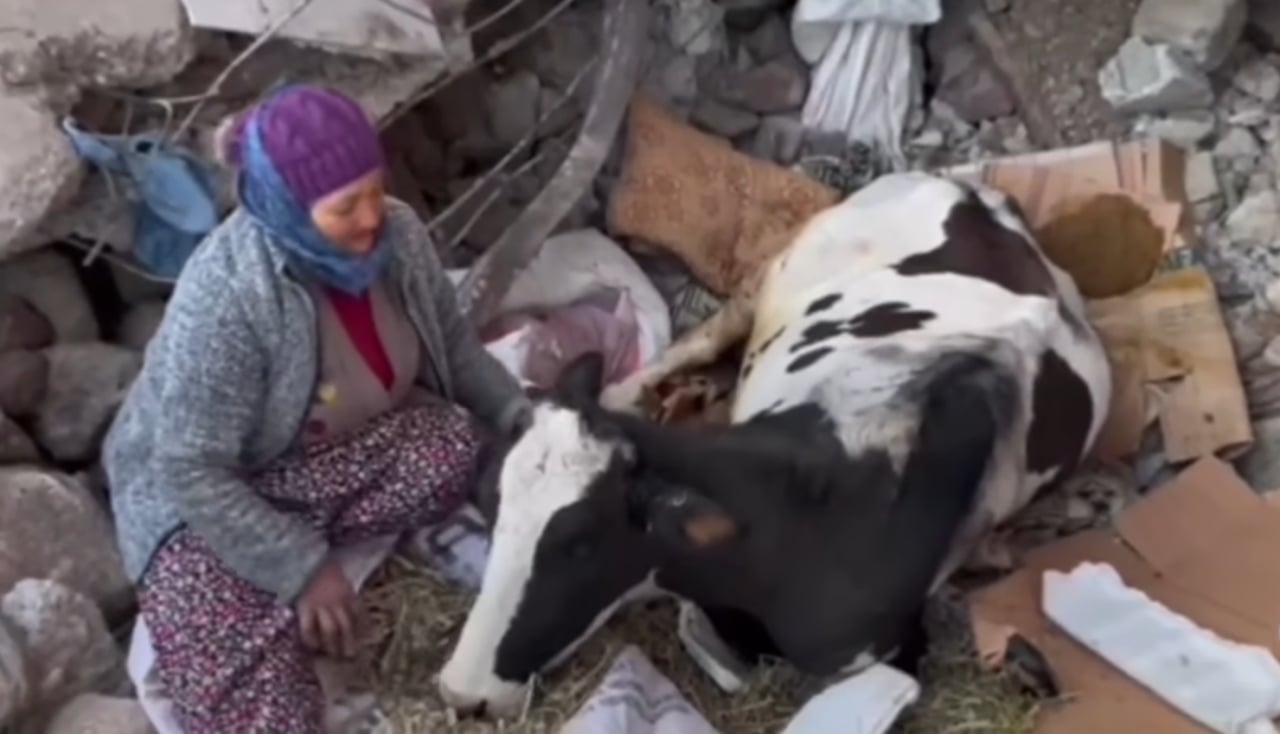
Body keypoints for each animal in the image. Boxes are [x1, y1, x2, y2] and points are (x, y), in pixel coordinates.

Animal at [432, 169, 1111, 712]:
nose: (460, 690)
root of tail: (974, 193)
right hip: (771, 275)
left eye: (579, 543)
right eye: (491, 508)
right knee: (695, 342)